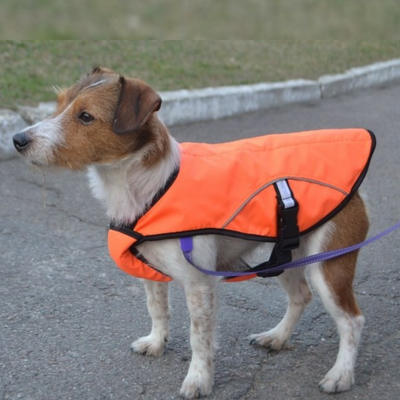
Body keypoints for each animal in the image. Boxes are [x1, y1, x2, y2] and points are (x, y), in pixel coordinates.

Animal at [12, 67, 368, 398]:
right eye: (59, 104)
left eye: (85, 116)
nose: (18, 140)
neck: (149, 187)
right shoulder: (151, 273)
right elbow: (157, 309)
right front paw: (157, 342)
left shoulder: (199, 285)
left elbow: (200, 337)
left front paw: (199, 379)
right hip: (283, 257)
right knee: (300, 296)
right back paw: (277, 337)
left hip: (328, 267)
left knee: (351, 321)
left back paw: (341, 374)